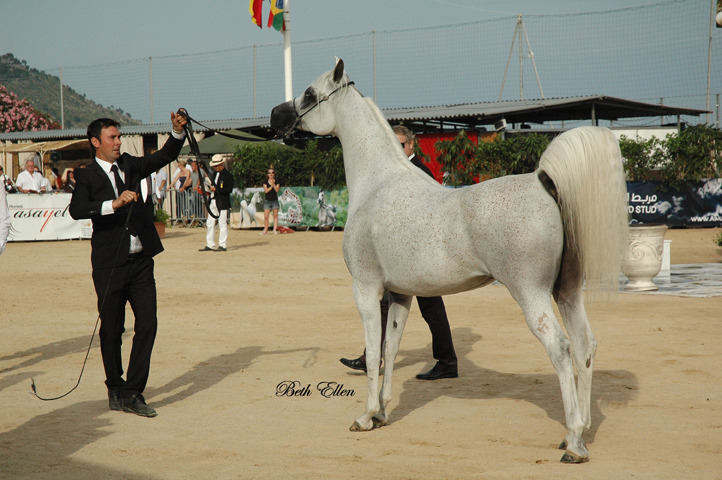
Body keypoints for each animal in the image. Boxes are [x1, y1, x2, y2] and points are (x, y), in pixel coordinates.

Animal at [270, 59, 628, 463]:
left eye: (310, 93)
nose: (275, 116)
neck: (378, 184)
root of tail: (543, 182)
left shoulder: (365, 289)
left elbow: (374, 353)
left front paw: (365, 417)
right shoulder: (400, 294)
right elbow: (390, 348)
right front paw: (382, 413)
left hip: (532, 294)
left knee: (562, 350)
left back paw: (574, 444)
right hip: (566, 292)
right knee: (585, 347)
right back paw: (580, 429)